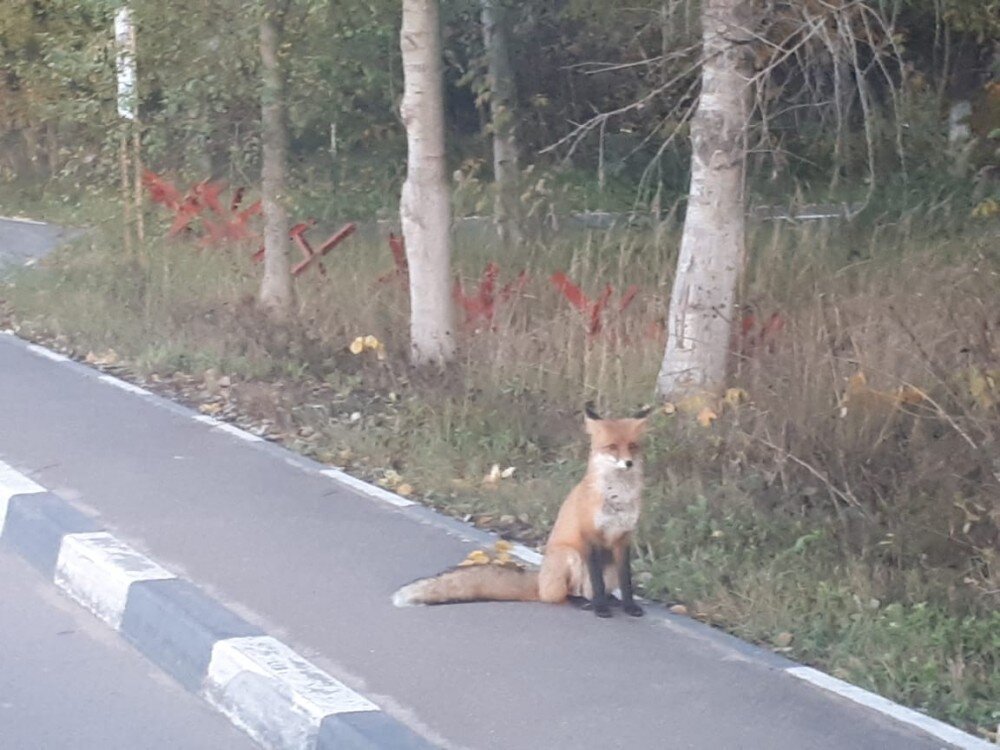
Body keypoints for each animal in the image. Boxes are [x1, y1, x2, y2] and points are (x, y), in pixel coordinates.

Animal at [394, 402, 652, 620]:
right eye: (612, 447)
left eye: (632, 446)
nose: (628, 463)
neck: (617, 498)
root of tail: (539, 579)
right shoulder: (589, 536)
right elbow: (596, 582)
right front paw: (600, 608)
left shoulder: (623, 539)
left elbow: (627, 582)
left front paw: (629, 606)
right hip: (569, 556)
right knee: (561, 596)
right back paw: (585, 602)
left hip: (607, 566)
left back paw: (608, 600)